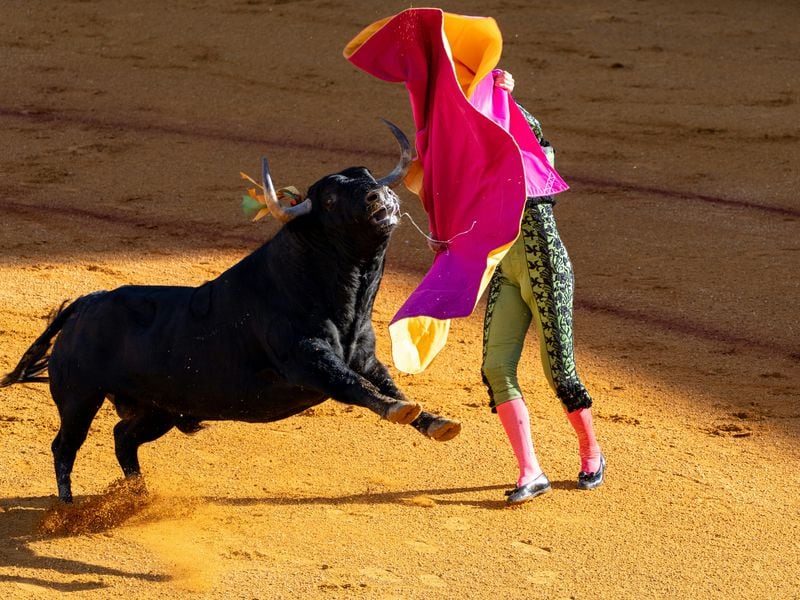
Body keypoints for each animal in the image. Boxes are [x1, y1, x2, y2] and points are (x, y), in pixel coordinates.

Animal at [1, 120, 461, 503]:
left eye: (365, 176)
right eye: (329, 199)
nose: (379, 195)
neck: (342, 297)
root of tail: (87, 303)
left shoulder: (364, 356)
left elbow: (387, 384)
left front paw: (437, 422)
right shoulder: (308, 359)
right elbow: (354, 387)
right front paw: (401, 412)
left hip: (159, 408)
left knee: (122, 438)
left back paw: (139, 496)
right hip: (80, 395)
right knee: (66, 444)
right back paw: (68, 505)